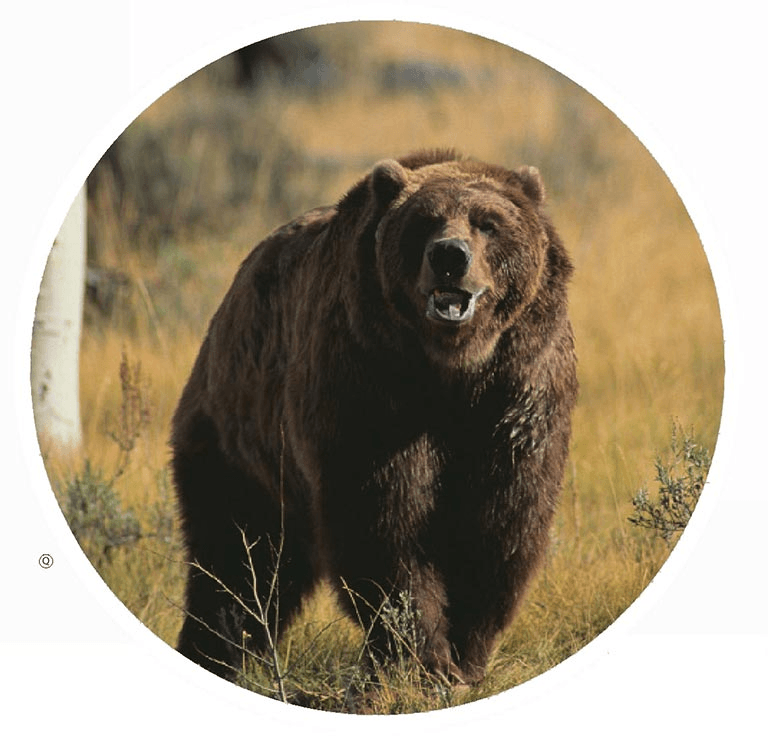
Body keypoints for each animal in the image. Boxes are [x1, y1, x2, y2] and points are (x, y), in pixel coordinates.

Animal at [171, 149, 577, 686]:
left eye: (488, 223)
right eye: (424, 222)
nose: (450, 256)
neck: (452, 372)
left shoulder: (517, 399)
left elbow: (501, 523)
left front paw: (466, 653)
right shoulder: (369, 389)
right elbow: (385, 527)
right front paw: (422, 657)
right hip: (240, 441)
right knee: (236, 557)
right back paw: (214, 649)